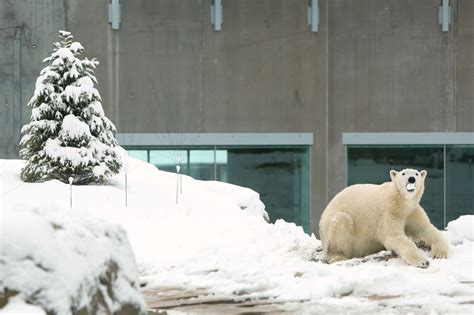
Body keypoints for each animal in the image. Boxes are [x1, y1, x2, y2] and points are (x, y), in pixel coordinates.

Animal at [318, 169, 448, 268]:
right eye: (403, 173)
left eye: (416, 173)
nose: (411, 179)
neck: (401, 201)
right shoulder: (388, 211)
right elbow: (393, 236)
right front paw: (423, 261)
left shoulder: (412, 211)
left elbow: (425, 228)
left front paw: (440, 254)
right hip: (334, 224)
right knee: (340, 222)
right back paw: (338, 256)